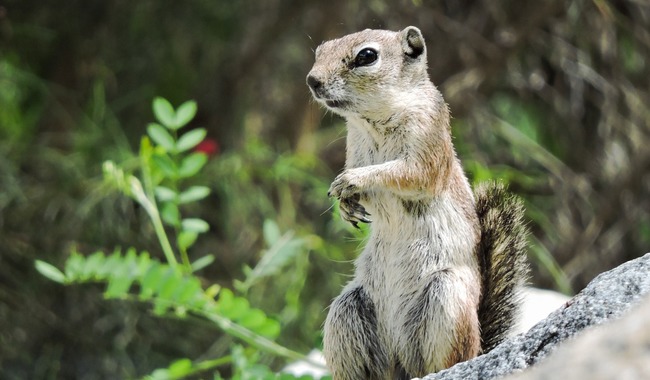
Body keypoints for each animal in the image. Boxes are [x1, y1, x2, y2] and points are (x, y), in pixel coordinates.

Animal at [306, 26, 528, 380]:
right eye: (320, 50)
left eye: (366, 56)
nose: (312, 80)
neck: (373, 121)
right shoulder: (355, 145)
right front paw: (346, 205)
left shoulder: (427, 142)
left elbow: (409, 174)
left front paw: (352, 181)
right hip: (347, 311)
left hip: (446, 299)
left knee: (445, 361)